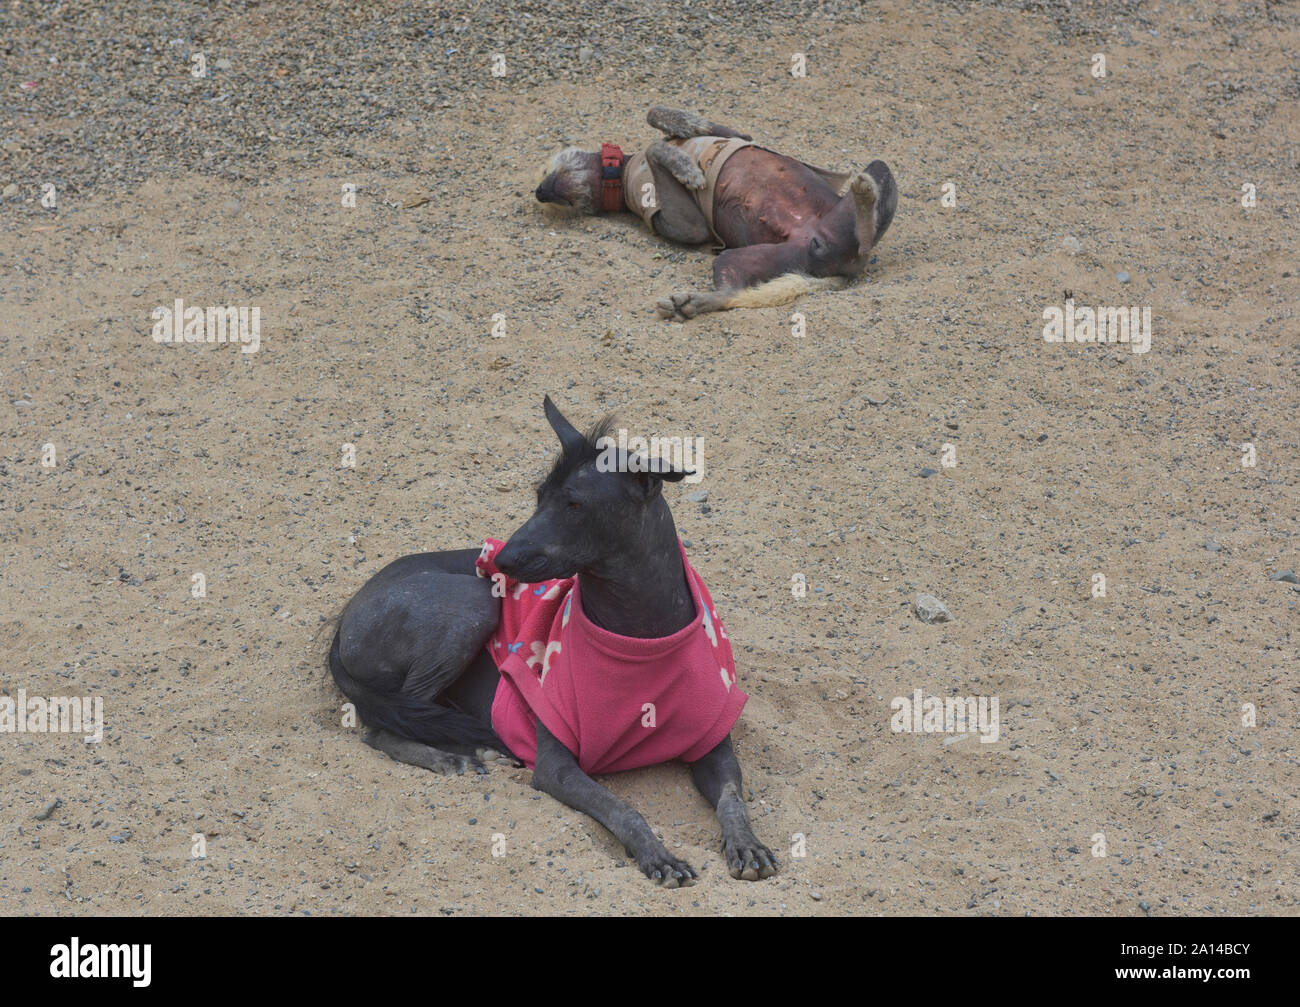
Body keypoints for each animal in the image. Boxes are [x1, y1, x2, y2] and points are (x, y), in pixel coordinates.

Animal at [535, 106, 894, 320]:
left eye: (543, 170)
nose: (540, 193)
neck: (620, 172)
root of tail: (848, 265)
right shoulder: (670, 216)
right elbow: (657, 152)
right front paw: (686, 168)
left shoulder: (735, 135)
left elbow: (659, 119)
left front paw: (686, 125)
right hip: (764, 256)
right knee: (730, 291)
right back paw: (689, 304)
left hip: (872, 179)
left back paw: (865, 195)